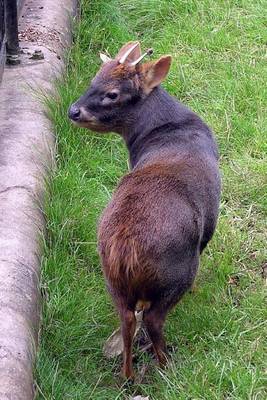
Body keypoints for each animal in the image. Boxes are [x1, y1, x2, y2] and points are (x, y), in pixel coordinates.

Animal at [69, 42, 222, 380]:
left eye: (111, 92)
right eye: (94, 80)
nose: (73, 111)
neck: (170, 129)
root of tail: (125, 249)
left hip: (112, 278)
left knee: (127, 319)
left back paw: (127, 374)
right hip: (176, 271)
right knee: (153, 319)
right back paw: (165, 365)